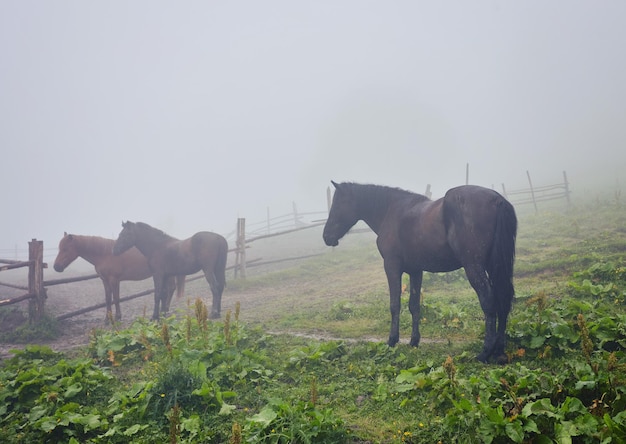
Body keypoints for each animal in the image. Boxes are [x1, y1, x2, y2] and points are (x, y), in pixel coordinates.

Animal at [53, 234, 184, 324]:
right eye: (59, 248)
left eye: (65, 249)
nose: (56, 267)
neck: (105, 254)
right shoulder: (105, 280)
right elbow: (107, 299)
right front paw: (107, 319)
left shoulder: (114, 280)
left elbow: (116, 298)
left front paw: (117, 317)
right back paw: (165, 309)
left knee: (170, 289)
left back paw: (165, 310)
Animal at [322, 182, 516, 362]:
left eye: (338, 204)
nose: (326, 237)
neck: (390, 212)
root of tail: (496, 200)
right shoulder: (416, 271)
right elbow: (414, 306)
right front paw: (414, 341)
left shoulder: (392, 267)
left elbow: (395, 305)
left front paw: (392, 341)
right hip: (494, 266)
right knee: (503, 299)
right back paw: (499, 351)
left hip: (474, 266)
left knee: (489, 300)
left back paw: (485, 352)